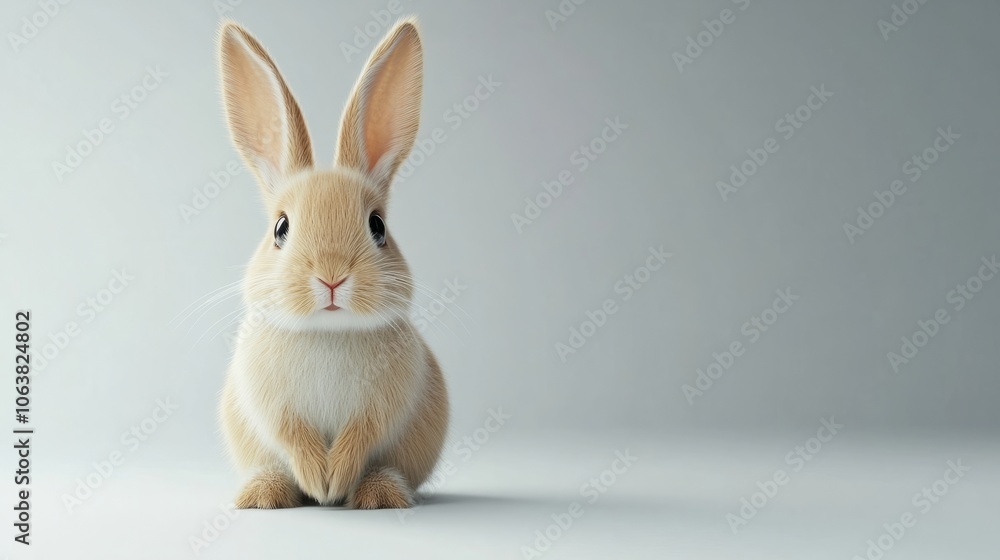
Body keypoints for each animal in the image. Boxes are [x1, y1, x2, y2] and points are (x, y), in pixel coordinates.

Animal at [215, 17, 448, 509]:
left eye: (377, 226)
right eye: (281, 228)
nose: (332, 277)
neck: (328, 331)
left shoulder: (383, 404)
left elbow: (362, 434)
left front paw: (335, 479)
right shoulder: (271, 404)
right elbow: (292, 434)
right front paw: (317, 480)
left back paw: (379, 495)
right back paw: (263, 495)